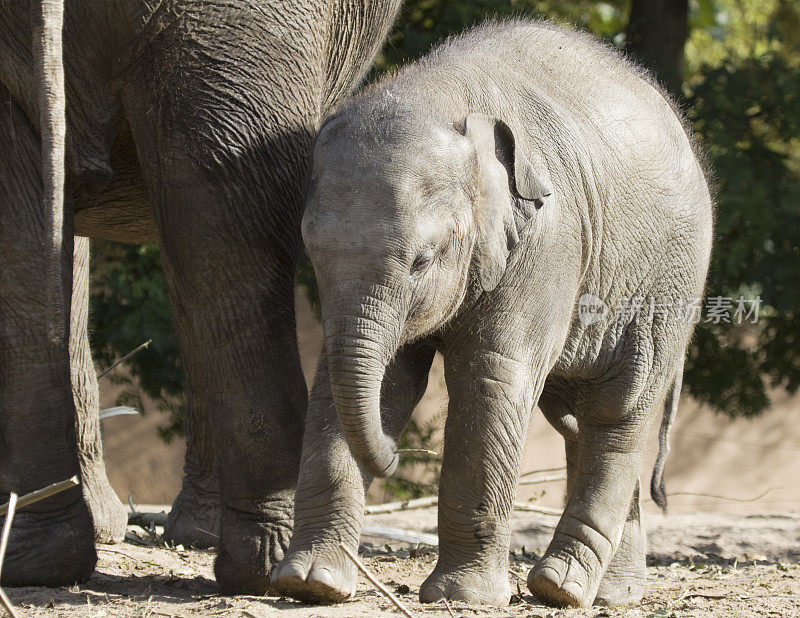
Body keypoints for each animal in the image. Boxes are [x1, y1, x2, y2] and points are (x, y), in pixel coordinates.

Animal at [270, 19, 712, 608]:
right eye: (312, 254)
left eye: (422, 259)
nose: (393, 455)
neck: (440, 94)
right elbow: (375, 382)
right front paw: (309, 584)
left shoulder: (548, 240)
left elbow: (489, 379)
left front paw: (463, 597)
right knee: (577, 419)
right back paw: (612, 594)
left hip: (668, 283)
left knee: (618, 408)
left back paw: (560, 589)